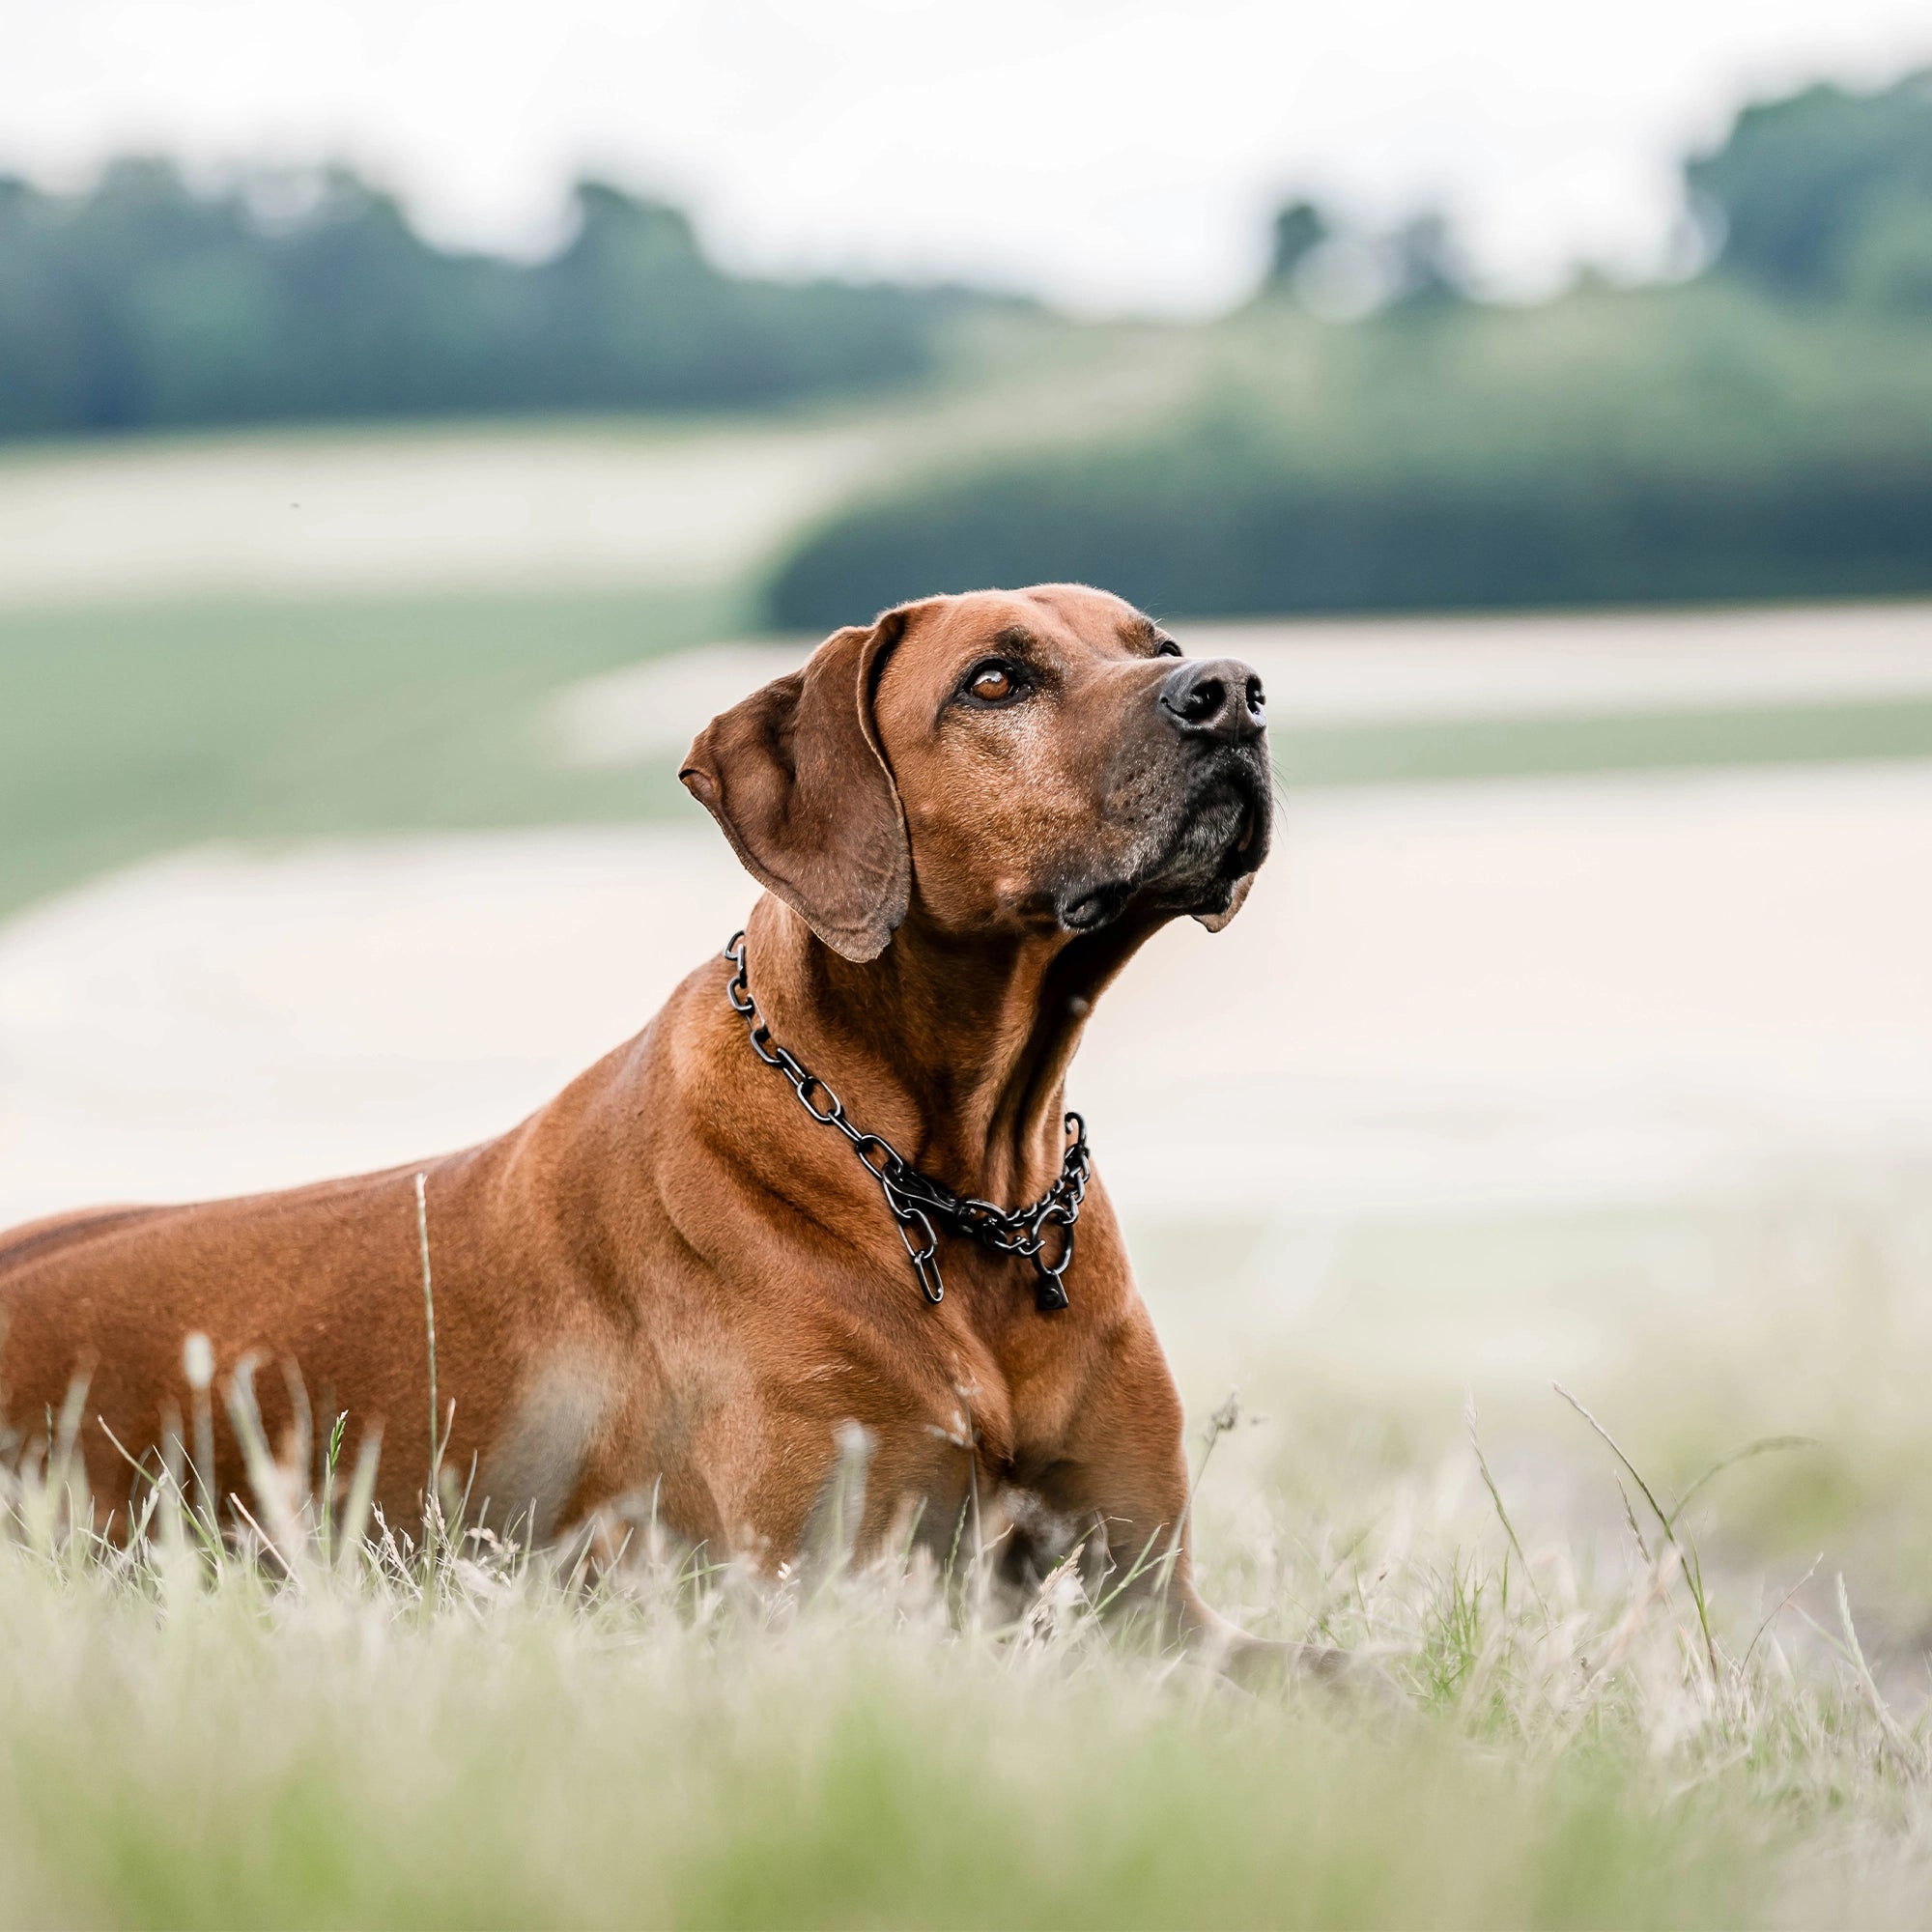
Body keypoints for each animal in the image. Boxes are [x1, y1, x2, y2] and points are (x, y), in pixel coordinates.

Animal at [0, 583, 1283, 1662]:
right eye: (994, 680)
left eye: (1154, 644)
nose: (1231, 690)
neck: (963, 1192)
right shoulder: (825, 1589)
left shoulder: (1158, 1604)